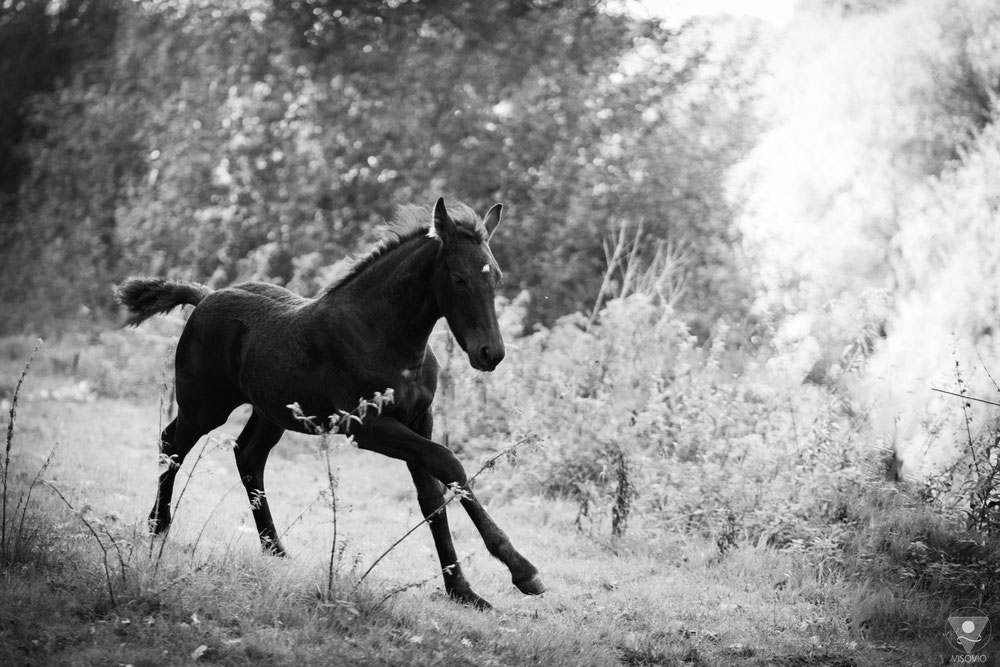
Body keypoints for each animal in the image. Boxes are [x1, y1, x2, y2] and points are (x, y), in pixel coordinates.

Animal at [117, 200, 548, 612]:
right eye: (458, 278)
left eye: (496, 277)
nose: (491, 353)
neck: (383, 336)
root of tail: (205, 297)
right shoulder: (366, 427)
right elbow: (449, 464)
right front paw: (523, 570)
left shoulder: (418, 419)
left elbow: (431, 495)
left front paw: (463, 590)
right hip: (204, 406)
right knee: (173, 444)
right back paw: (158, 526)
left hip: (270, 412)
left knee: (248, 455)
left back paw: (275, 549)